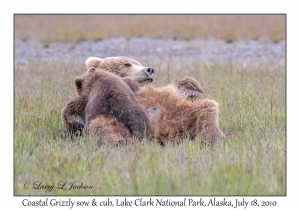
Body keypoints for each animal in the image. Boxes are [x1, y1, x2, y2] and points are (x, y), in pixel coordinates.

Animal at [61, 56, 223, 146]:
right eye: (127, 64)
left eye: (138, 62)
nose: (149, 69)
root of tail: (164, 135)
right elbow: (73, 113)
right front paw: (76, 120)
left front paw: (191, 90)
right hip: (117, 124)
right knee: (102, 126)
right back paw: (118, 143)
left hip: (185, 114)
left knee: (208, 109)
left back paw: (210, 139)